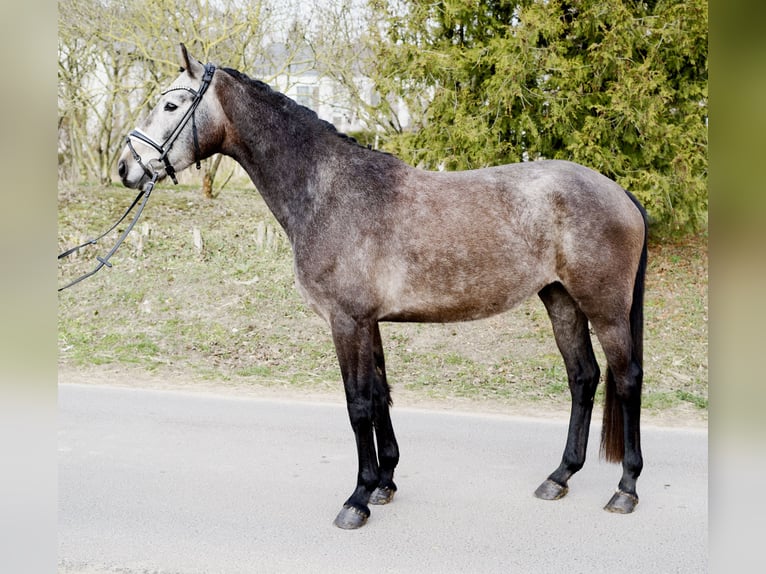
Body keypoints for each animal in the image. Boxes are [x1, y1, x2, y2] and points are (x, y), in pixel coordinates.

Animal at [118, 45, 648, 532]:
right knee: (583, 378)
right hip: (561, 300)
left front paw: (357, 498)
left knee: (626, 379)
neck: (329, 192)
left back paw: (625, 489)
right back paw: (559, 477)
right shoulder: (367, 322)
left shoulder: (346, 321)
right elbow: (379, 396)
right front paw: (384, 483)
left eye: (171, 105)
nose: (126, 167)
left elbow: (357, 405)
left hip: (605, 308)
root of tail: (620, 193)